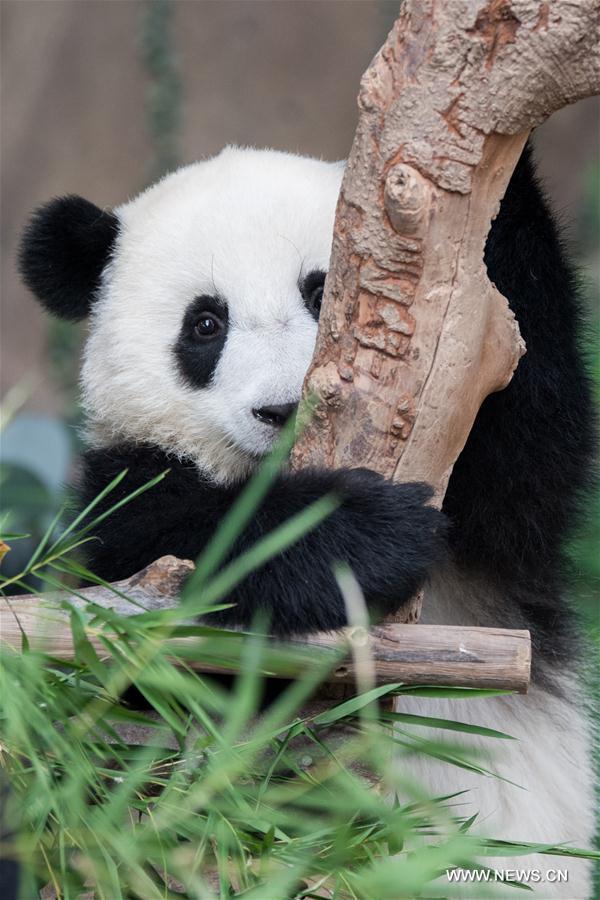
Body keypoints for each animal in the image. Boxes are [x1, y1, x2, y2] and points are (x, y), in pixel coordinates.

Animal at [18, 146, 596, 892]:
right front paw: (363, 533)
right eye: (206, 324)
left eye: (321, 294)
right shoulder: (121, 502)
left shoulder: (499, 516)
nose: (280, 409)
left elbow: (534, 437)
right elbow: (180, 594)